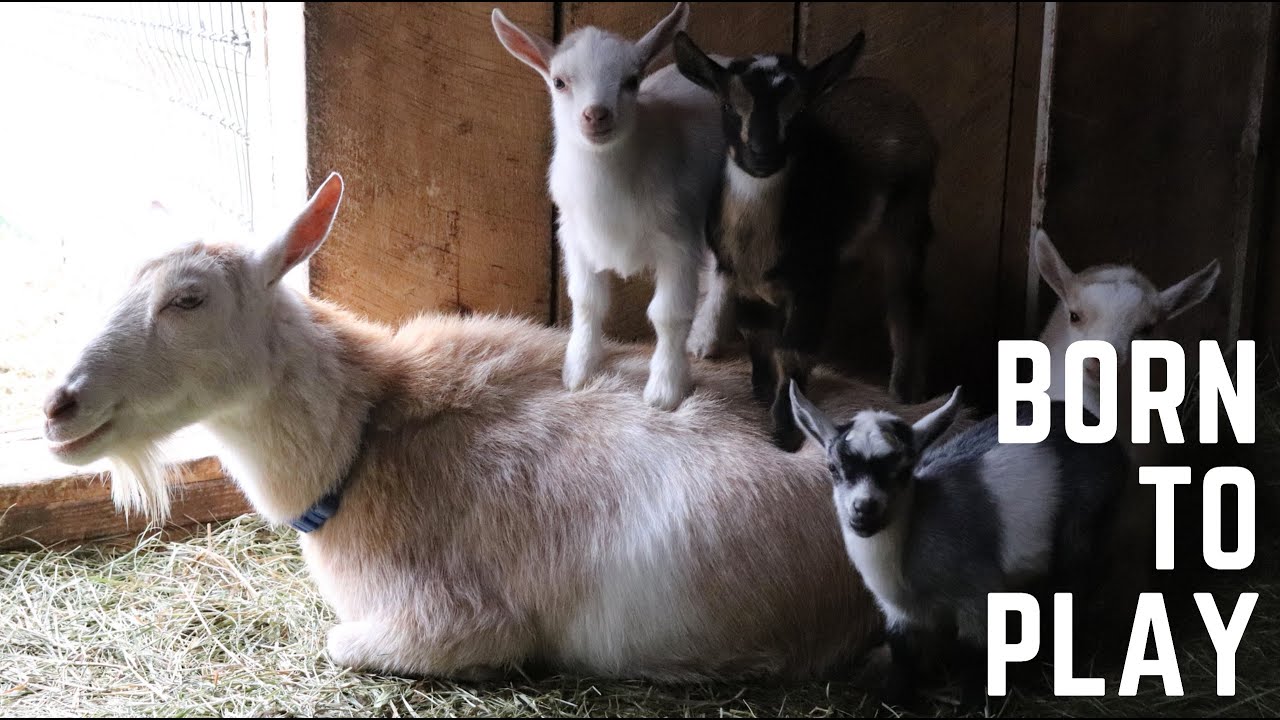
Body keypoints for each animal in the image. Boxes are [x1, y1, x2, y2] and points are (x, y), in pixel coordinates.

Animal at [491, 3, 728, 412]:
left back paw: (704, 336)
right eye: (559, 82)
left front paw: (665, 391)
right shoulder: (574, 236)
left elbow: (667, 314)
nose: (596, 114)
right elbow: (587, 302)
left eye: (632, 80)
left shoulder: (678, 242)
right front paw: (579, 371)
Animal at [672, 31, 939, 452]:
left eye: (798, 112)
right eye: (728, 105)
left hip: (907, 219)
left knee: (905, 300)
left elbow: (794, 351)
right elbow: (757, 335)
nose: (762, 156)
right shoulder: (740, 279)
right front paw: (762, 392)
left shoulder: (811, 284)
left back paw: (905, 393)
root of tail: (891, 92)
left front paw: (785, 431)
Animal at [790, 381, 1129, 709]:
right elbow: (903, 656)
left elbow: (976, 654)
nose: (864, 509)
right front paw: (895, 701)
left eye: (903, 471)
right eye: (833, 468)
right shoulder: (899, 613)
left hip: (1084, 527)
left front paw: (975, 705)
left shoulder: (979, 595)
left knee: (1076, 589)